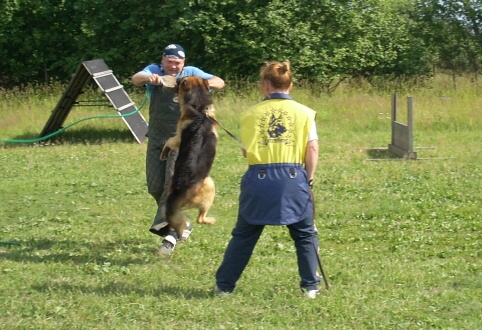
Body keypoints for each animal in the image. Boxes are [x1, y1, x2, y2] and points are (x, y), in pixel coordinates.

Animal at [160, 76, 217, 238]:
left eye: (179, 82)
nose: (177, 78)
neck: (199, 109)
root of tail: (180, 190)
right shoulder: (178, 138)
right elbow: (169, 141)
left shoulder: (178, 138)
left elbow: (169, 141)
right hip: (210, 183)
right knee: (200, 219)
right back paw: (211, 220)